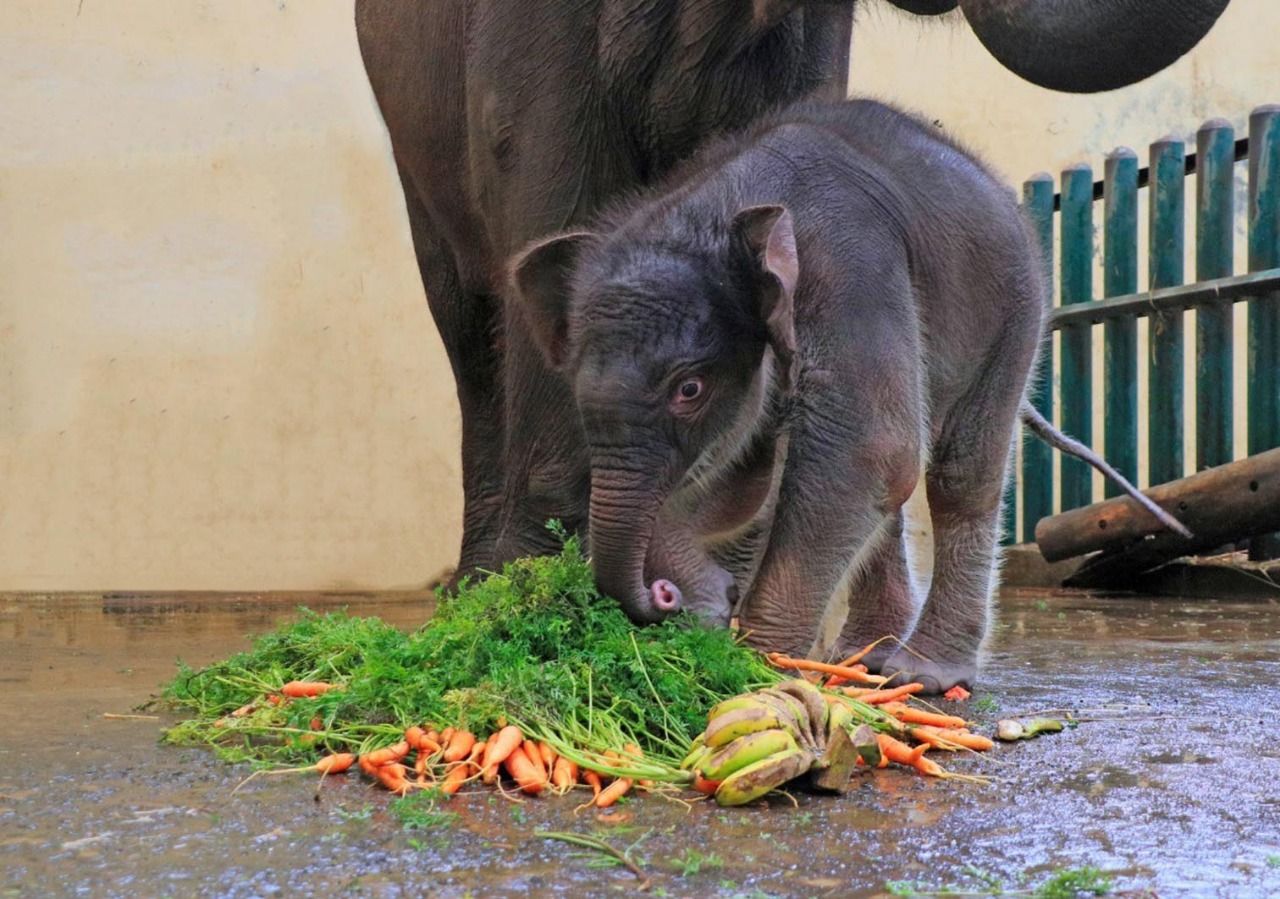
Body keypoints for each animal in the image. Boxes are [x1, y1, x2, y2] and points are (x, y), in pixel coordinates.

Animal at [512, 98, 1049, 691]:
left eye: (689, 390)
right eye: (577, 391)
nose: (664, 595)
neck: (713, 209)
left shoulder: (850, 270)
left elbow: (870, 450)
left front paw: (756, 672)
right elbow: (751, 481)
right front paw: (716, 608)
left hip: (1015, 314)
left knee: (959, 478)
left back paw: (922, 675)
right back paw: (863, 660)